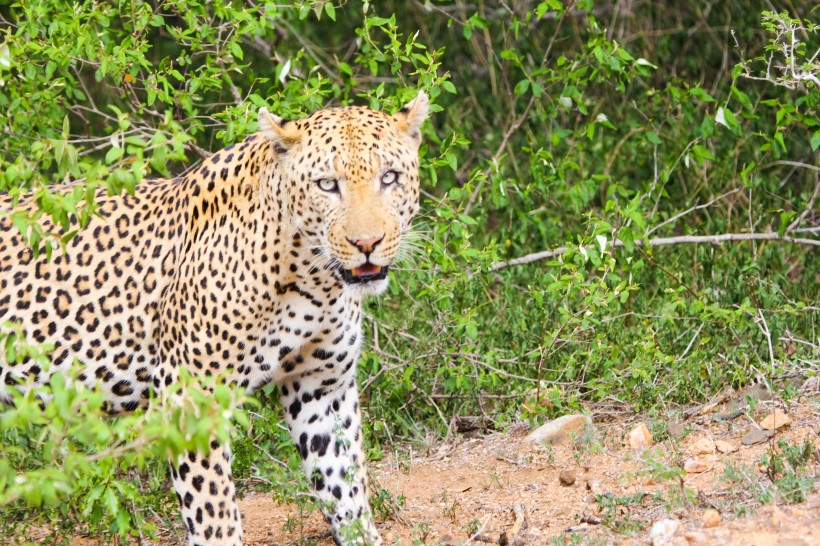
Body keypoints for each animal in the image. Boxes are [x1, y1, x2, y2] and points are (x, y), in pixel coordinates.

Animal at [0, 91, 432, 540]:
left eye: (389, 178)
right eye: (327, 185)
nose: (367, 243)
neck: (314, 282)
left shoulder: (322, 387)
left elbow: (346, 490)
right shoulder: (193, 396)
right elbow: (215, 515)